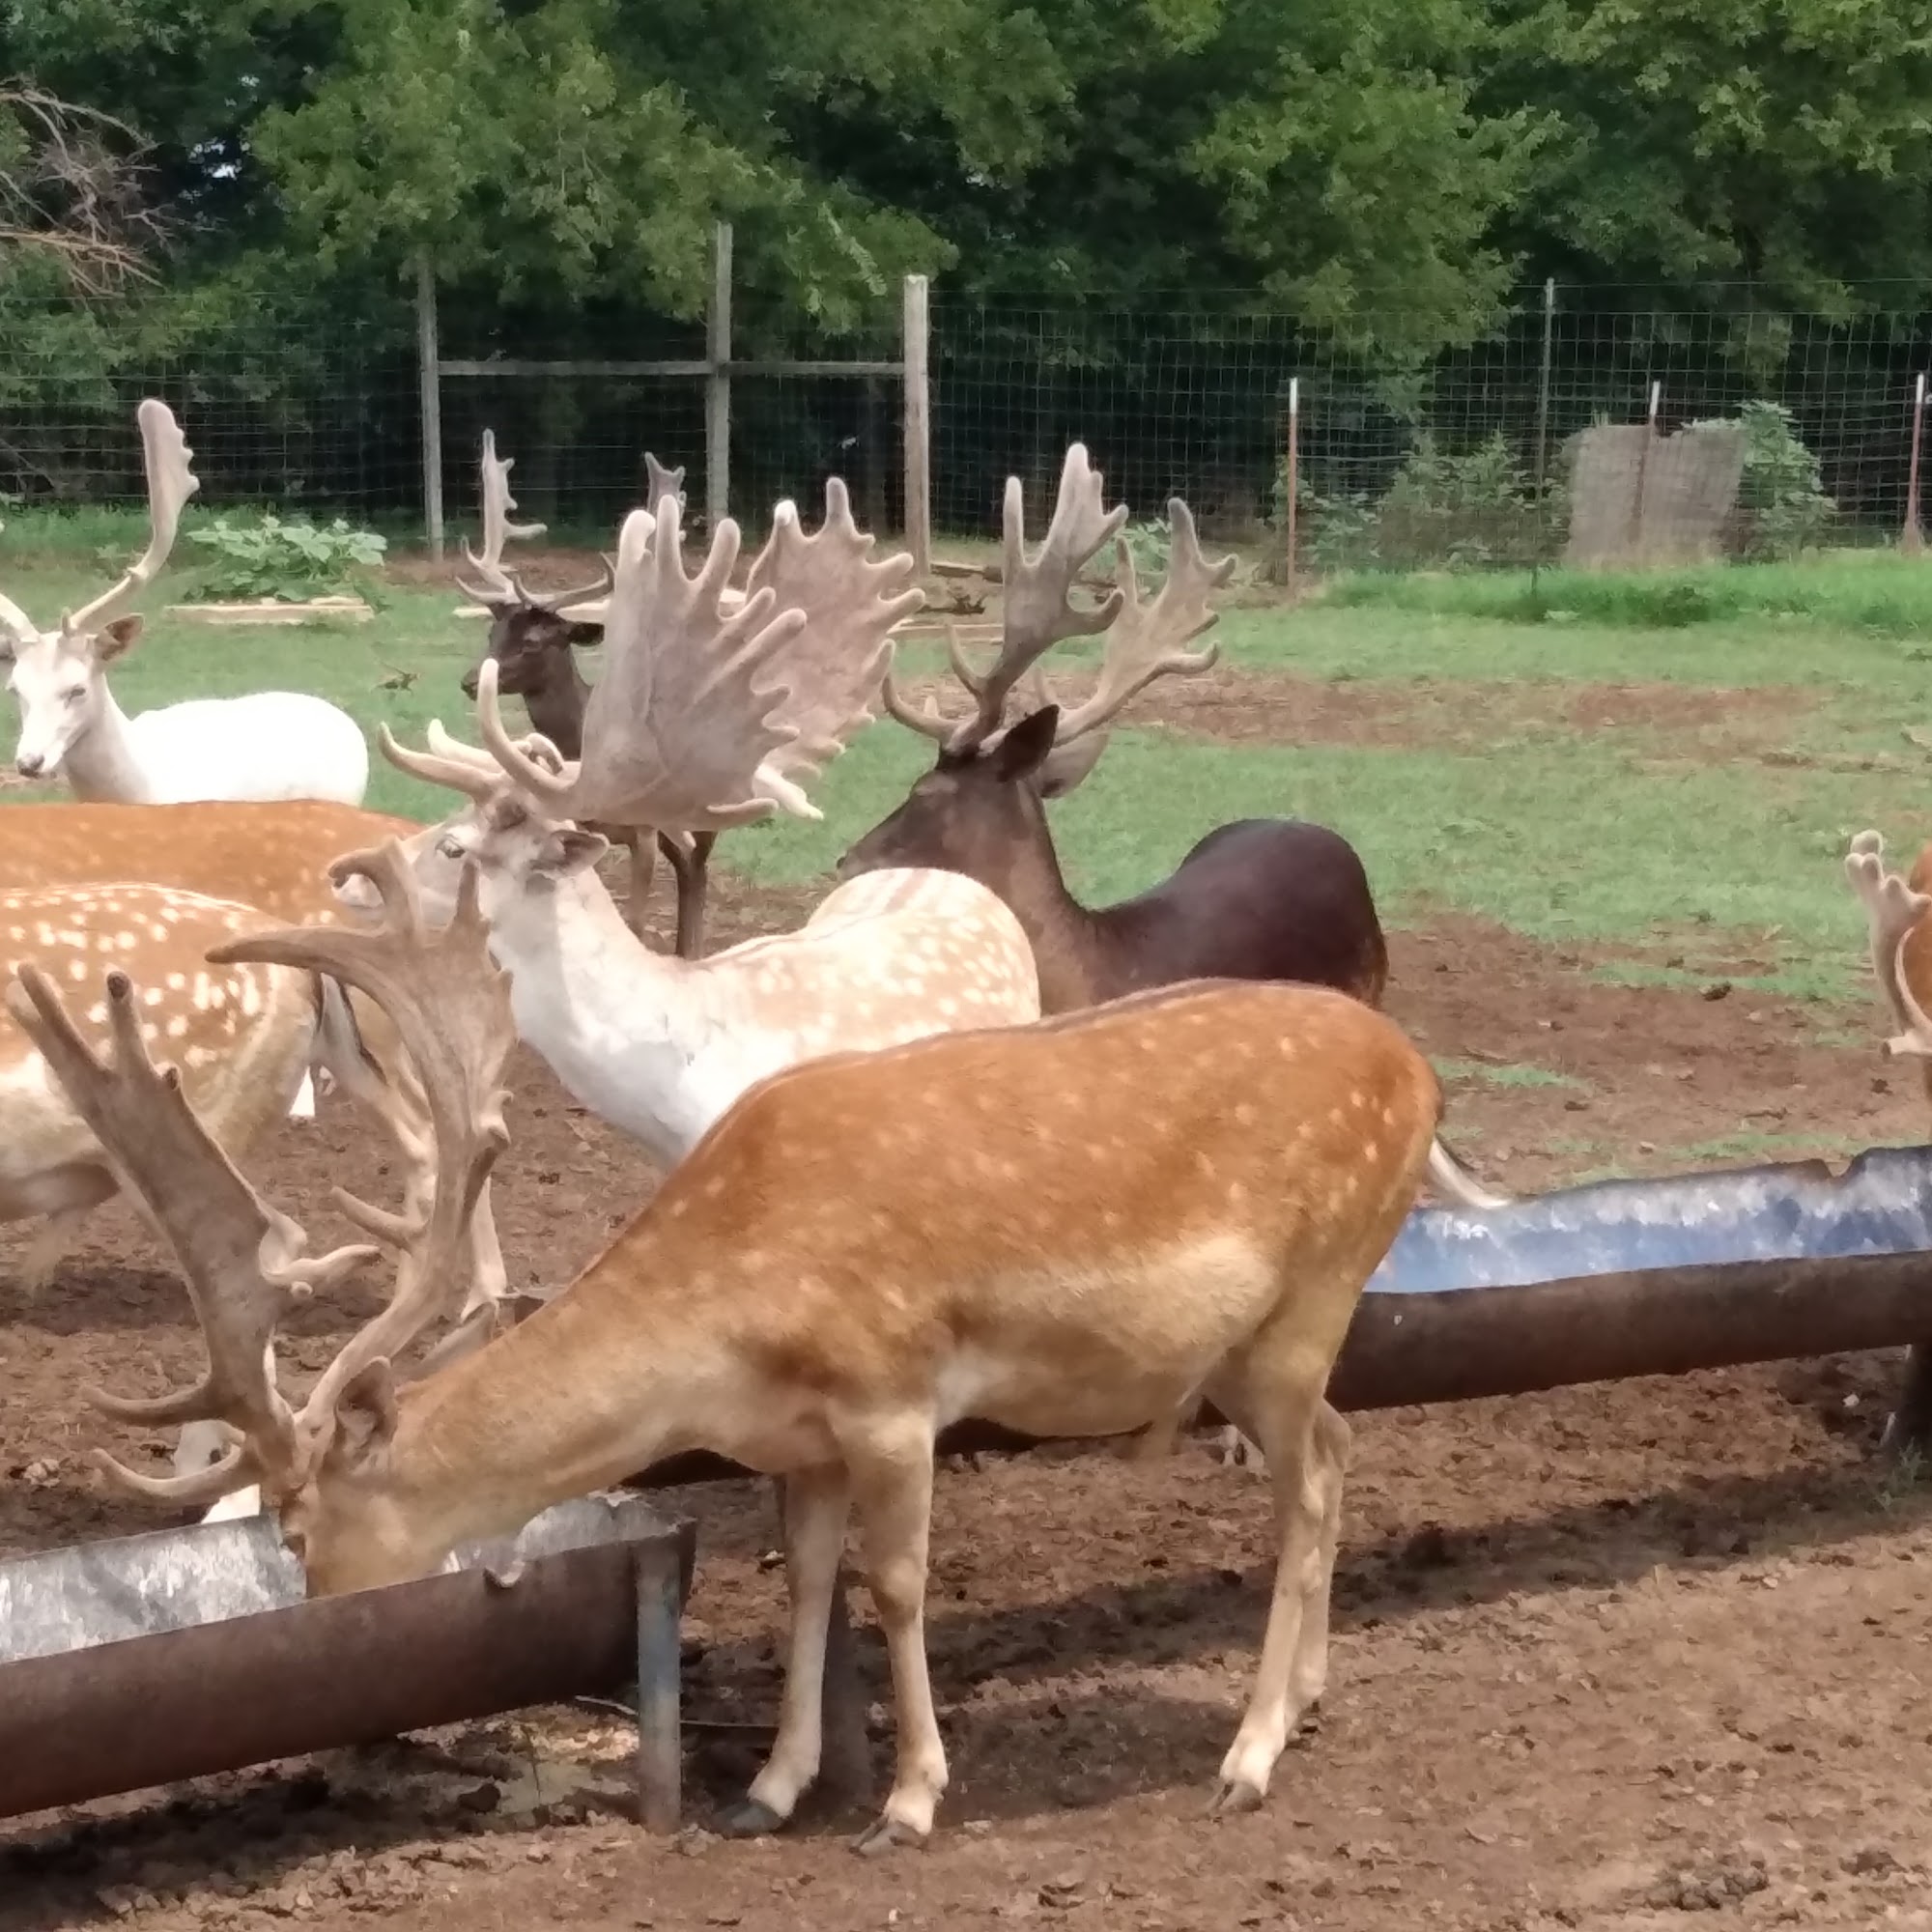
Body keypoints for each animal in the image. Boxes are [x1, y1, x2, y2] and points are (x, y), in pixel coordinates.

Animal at [18, 851, 1442, 1853]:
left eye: (302, 1528)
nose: (317, 1640)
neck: (724, 1325)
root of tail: (1421, 1073)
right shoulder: (797, 1438)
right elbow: (806, 1578)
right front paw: (771, 1786)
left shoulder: (891, 1390)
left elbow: (897, 1582)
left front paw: (909, 1802)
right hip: (1254, 1348)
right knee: (1336, 1446)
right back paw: (1305, 1699)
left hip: (1312, 1295)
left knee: (1313, 1482)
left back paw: (1246, 1758)